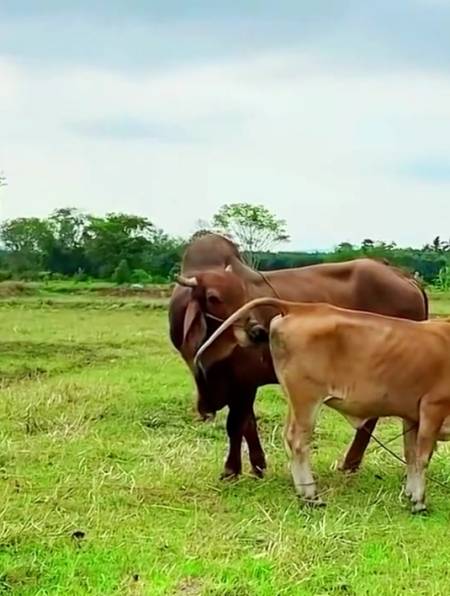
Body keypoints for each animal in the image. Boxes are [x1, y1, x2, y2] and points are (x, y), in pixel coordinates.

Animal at [167, 234, 428, 480]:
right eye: (213, 297)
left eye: (242, 294)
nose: (258, 331)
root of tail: (405, 277)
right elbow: (248, 424)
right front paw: (258, 466)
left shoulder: (243, 382)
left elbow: (235, 425)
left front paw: (231, 470)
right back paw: (352, 463)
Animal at [196, 298, 450, 512]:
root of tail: (298, 307)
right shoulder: (433, 406)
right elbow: (422, 457)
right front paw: (419, 501)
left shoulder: (412, 416)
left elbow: (411, 455)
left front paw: (410, 493)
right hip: (307, 398)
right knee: (298, 440)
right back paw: (311, 495)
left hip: (294, 400)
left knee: (289, 439)